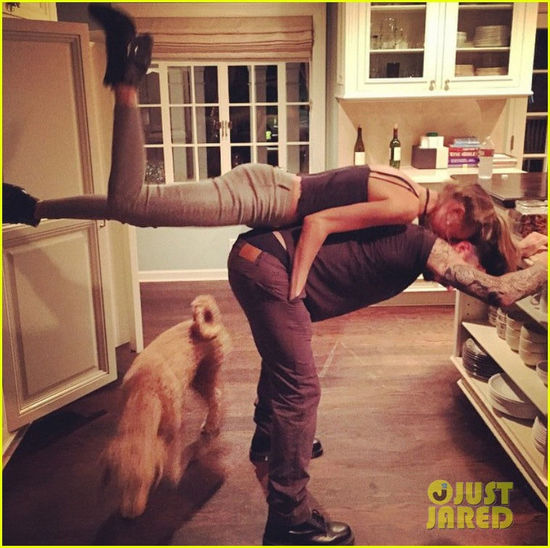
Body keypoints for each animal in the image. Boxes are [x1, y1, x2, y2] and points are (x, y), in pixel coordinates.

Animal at [101, 295, 231, 518]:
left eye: (147, 483)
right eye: (120, 484)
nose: (129, 516)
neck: (144, 393)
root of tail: (204, 324)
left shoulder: (173, 432)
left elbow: (173, 466)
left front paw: (188, 459)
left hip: (206, 375)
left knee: (216, 398)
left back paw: (210, 426)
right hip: (197, 380)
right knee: (215, 396)